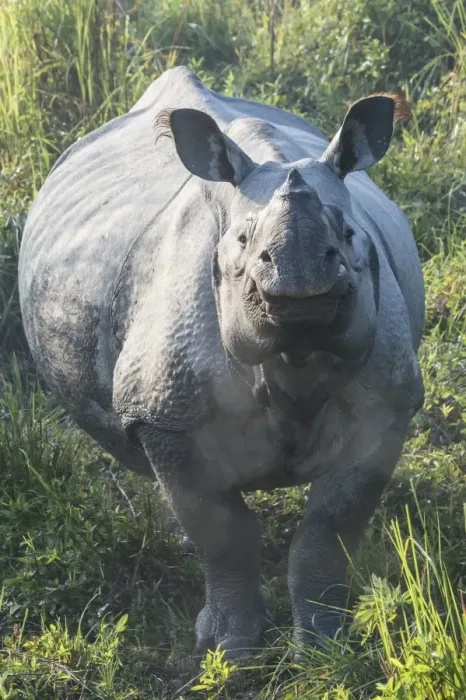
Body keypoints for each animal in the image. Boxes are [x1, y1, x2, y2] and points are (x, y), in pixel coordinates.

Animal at [19, 66, 424, 658]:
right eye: (242, 241)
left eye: (349, 236)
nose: (299, 283)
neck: (293, 357)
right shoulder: (166, 414)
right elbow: (223, 532)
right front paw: (230, 649)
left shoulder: (387, 409)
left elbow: (329, 530)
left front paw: (324, 644)